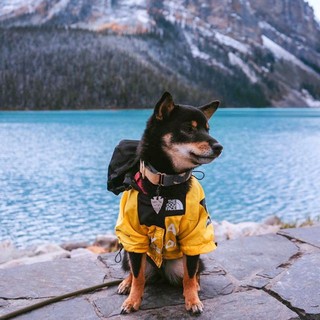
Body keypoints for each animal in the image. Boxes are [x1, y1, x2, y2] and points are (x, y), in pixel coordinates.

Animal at [115, 90, 222, 316]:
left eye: (207, 129)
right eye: (189, 129)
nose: (219, 147)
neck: (164, 183)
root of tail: (161, 272)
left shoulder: (194, 235)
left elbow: (189, 274)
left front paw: (192, 300)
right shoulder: (134, 235)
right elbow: (138, 277)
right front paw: (132, 300)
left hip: (180, 264)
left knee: (195, 271)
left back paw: (196, 286)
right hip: (129, 252)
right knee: (134, 271)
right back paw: (126, 283)